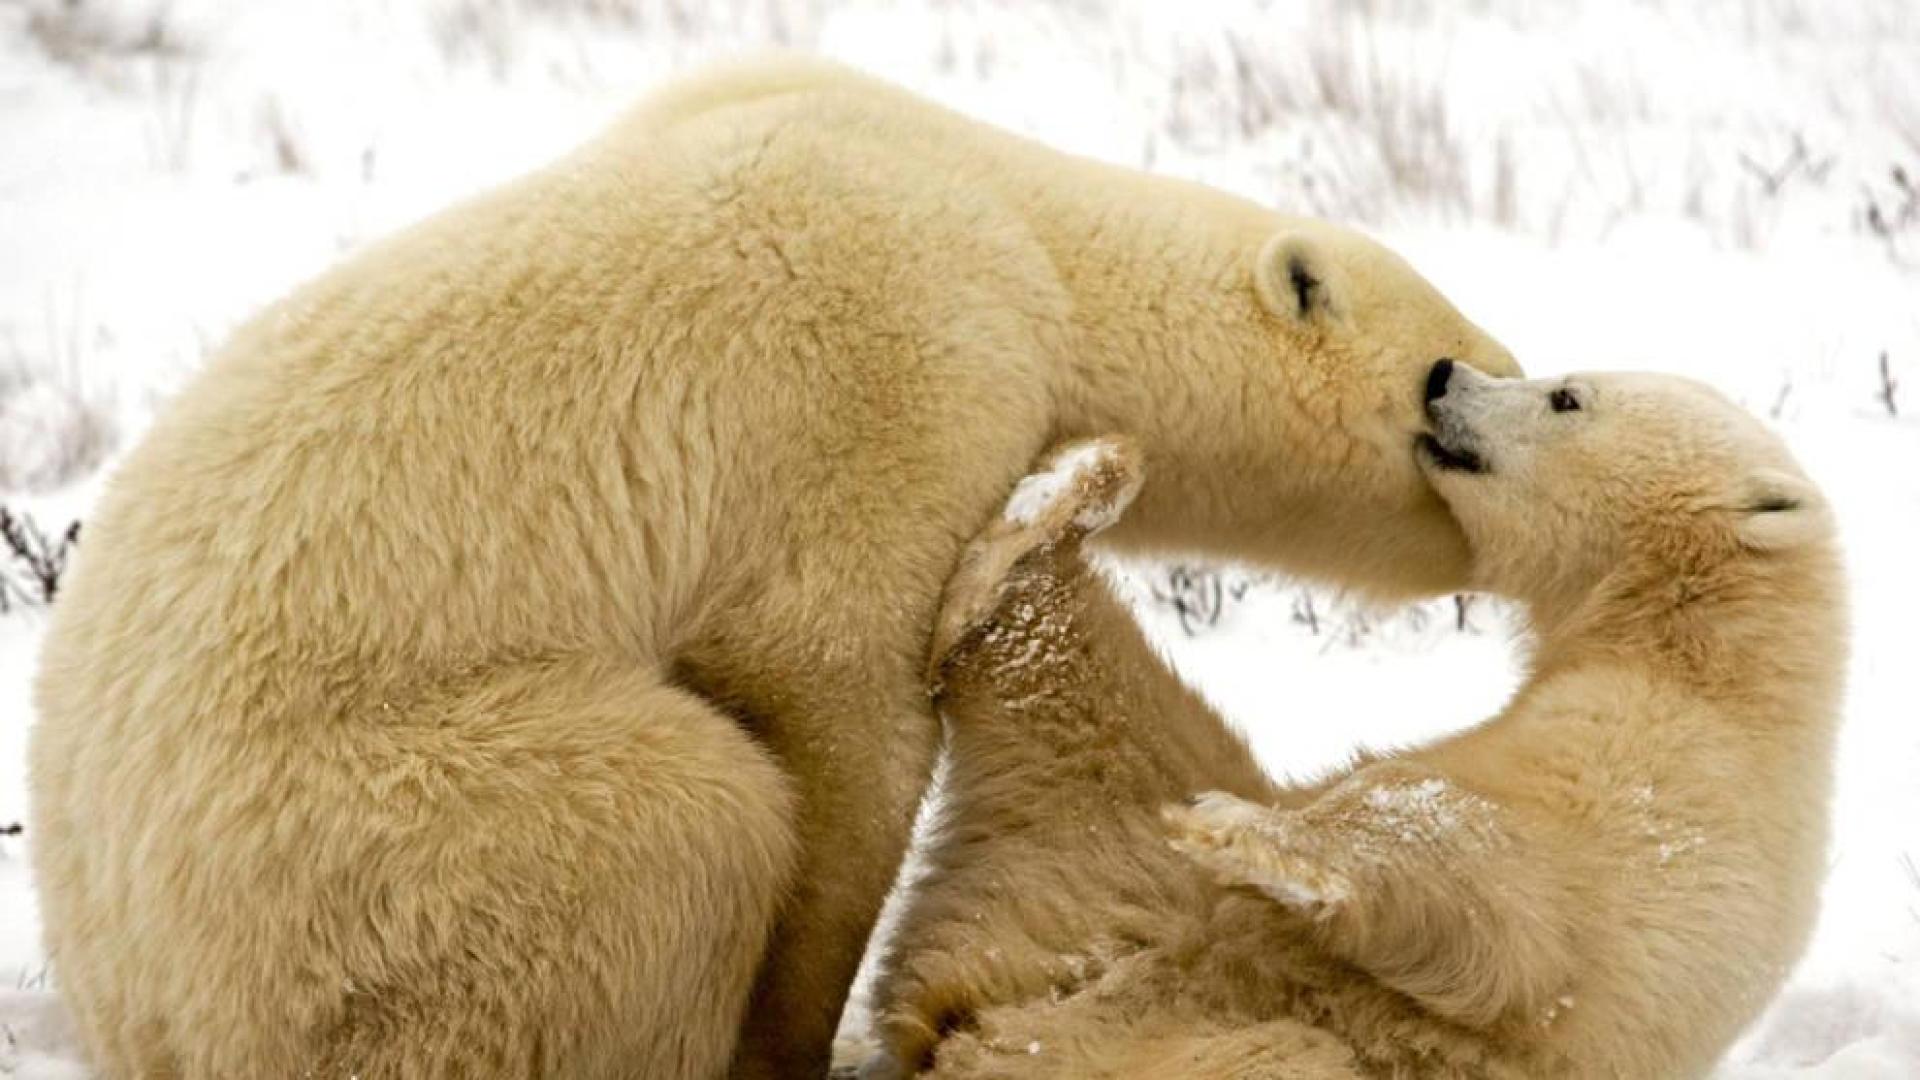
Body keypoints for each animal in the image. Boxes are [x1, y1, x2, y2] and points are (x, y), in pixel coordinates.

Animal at [27, 57, 1518, 1078]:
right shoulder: (901, 367)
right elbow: (834, 688)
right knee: (679, 812)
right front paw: (796, 1027)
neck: (1008, 214)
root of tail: (120, 981)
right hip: (357, 838)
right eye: (1449, 379)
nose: (1512, 400)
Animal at [868, 365, 1845, 1079]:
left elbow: (1494, 884)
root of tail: (991, 1012)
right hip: (1102, 876)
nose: (1445, 376)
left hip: (1224, 1023)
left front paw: (1245, 831)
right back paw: (1063, 501)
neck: (1705, 659)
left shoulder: (1666, 806)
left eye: (1567, 395)